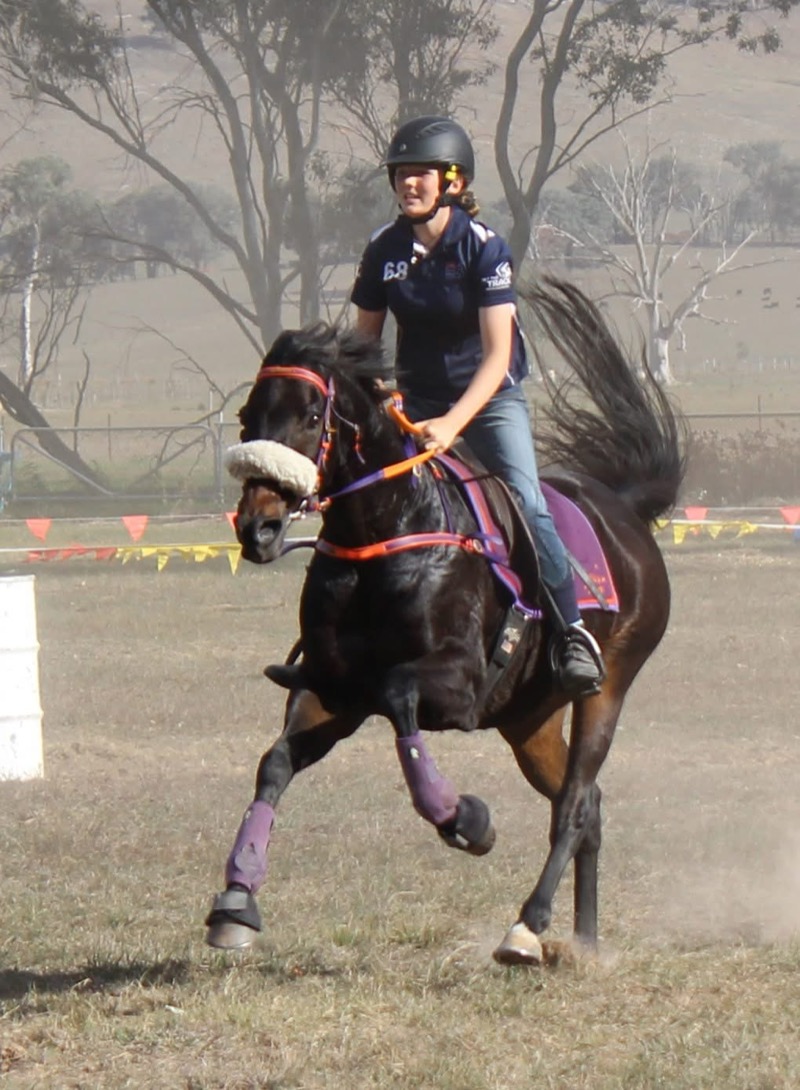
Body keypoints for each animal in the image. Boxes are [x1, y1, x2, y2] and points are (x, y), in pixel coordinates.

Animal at [205, 278, 687, 966]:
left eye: (310, 415)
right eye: (248, 419)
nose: (259, 527)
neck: (388, 532)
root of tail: (624, 510)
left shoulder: (455, 685)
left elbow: (398, 691)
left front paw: (463, 817)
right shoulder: (330, 689)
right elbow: (275, 763)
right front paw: (236, 901)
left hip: (608, 687)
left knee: (574, 802)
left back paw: (526, 927)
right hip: (528, 718)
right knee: (588, 806)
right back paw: (584, 940)